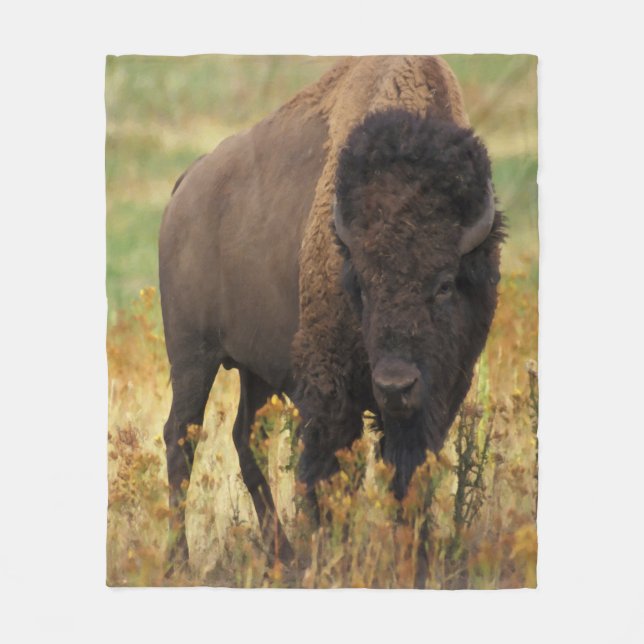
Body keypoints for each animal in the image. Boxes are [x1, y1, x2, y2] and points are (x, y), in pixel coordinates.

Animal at [159, 56, 503, 569]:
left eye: (444, 284)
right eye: (360, 281)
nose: (394, 385)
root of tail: (185, 187)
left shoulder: (438, 394)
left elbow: (409, 475)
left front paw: (414, 561)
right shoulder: (329, 388)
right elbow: (328, 475)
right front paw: (332, 555)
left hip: (254, 370)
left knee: (245, 438)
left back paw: (282, 556)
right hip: (192, 357)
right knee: (181, 438)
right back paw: (181, 561)